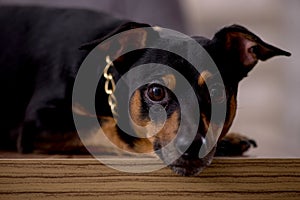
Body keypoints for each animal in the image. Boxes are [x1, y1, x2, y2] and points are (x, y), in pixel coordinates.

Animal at [0, 5, 290, 176]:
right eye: (155, 92)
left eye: (217, 91)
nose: (193, 146)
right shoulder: (37, 123)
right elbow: (112, 128)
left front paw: (230, 138)